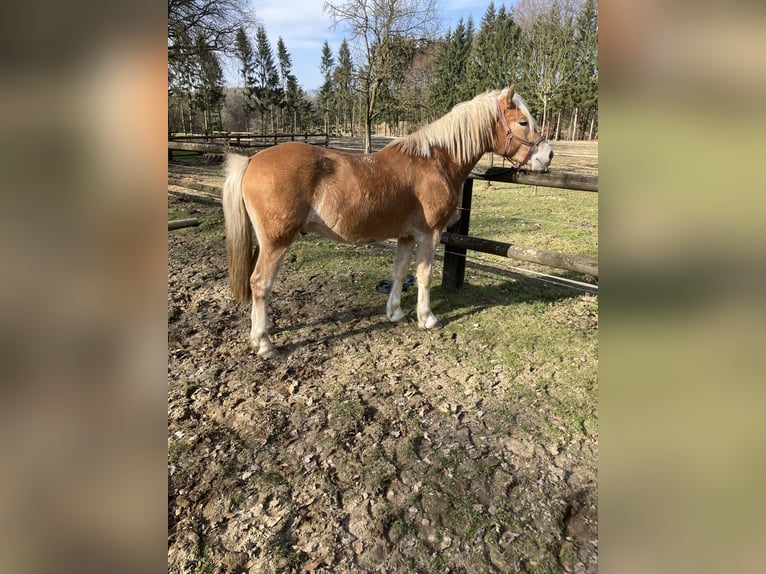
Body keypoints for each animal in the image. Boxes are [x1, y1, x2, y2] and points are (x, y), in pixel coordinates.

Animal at [222, 86, 553, 358]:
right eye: (523, 122)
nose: (547, 155)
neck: (436, 161)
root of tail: (251, 160)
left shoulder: (406, 236)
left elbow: (400, 272)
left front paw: (395, 313)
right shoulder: (429, 234)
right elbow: (424, 275)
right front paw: (427, 318)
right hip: (276, 242)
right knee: (260, 283)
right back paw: (265, 343)